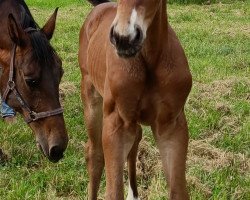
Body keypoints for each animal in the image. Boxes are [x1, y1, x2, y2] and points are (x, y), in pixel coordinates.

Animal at [79, 0, 192, 200]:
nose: (124, 38)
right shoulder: (117, 122)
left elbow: (179, 191)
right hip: (90, 96)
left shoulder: (171, 126)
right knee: (95, 153)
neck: (149, 59)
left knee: (136, 138)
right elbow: (113, 192)